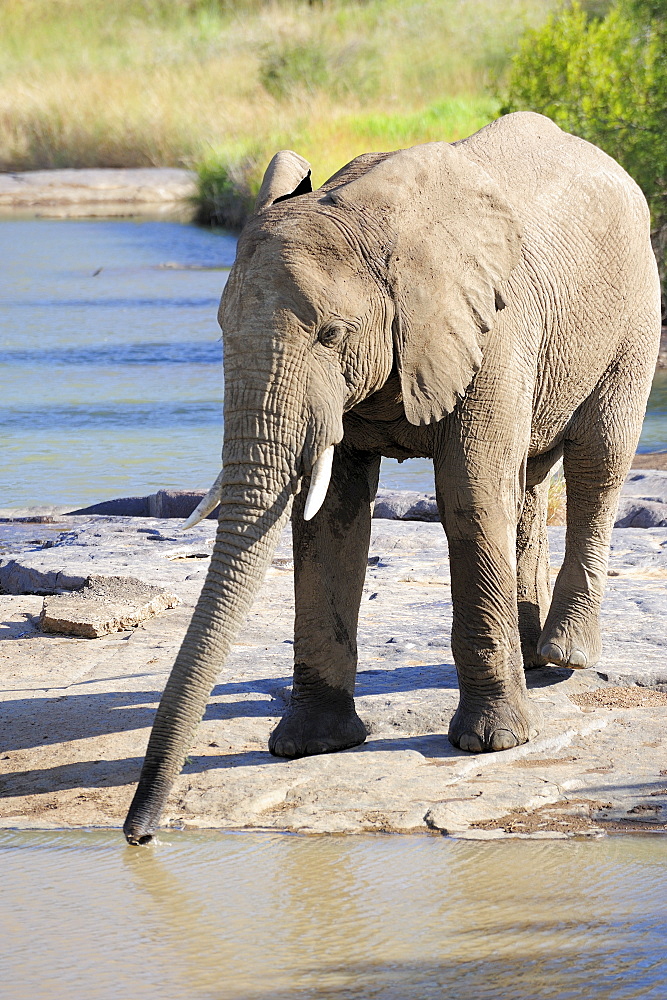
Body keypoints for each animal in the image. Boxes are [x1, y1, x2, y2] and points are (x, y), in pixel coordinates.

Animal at [122, 109, 660, 844]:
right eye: (222, 333)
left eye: (330, 334)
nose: (140, 834)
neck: (367, 221)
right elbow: (328, 515)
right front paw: (311, 745)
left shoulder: (494, 328)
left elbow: (467, 494)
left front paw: (492, 744)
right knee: (525, 481)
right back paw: (529, 656)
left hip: (633, 311)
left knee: (595, 462)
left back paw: (563, 659)